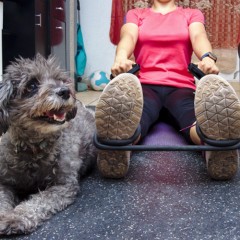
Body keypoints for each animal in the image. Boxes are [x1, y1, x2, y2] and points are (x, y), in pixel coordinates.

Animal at [0, 54, 96, 234]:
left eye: (60, 80)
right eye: (31, 85)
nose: (65, 91)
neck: (34, 147)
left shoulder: (63, 185)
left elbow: (38, 202)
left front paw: (16, 217)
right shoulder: (4, 182)